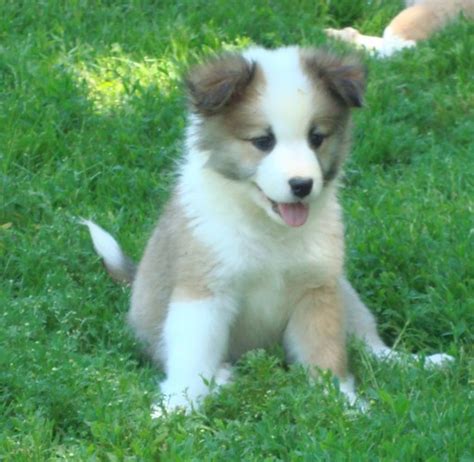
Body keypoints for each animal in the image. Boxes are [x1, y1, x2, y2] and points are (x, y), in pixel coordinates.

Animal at [82, 47, 452, 414]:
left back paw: (419, 363)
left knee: (368, 343)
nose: (302, 185)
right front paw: (175, 408)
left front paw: (342, 404)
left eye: (316, 138)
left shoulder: (317, 289)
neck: (267, 226)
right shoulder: (204, 290)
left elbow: (326, 354)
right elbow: (193, 358)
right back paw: (223, 379)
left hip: (345, 291)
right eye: (263, 141)